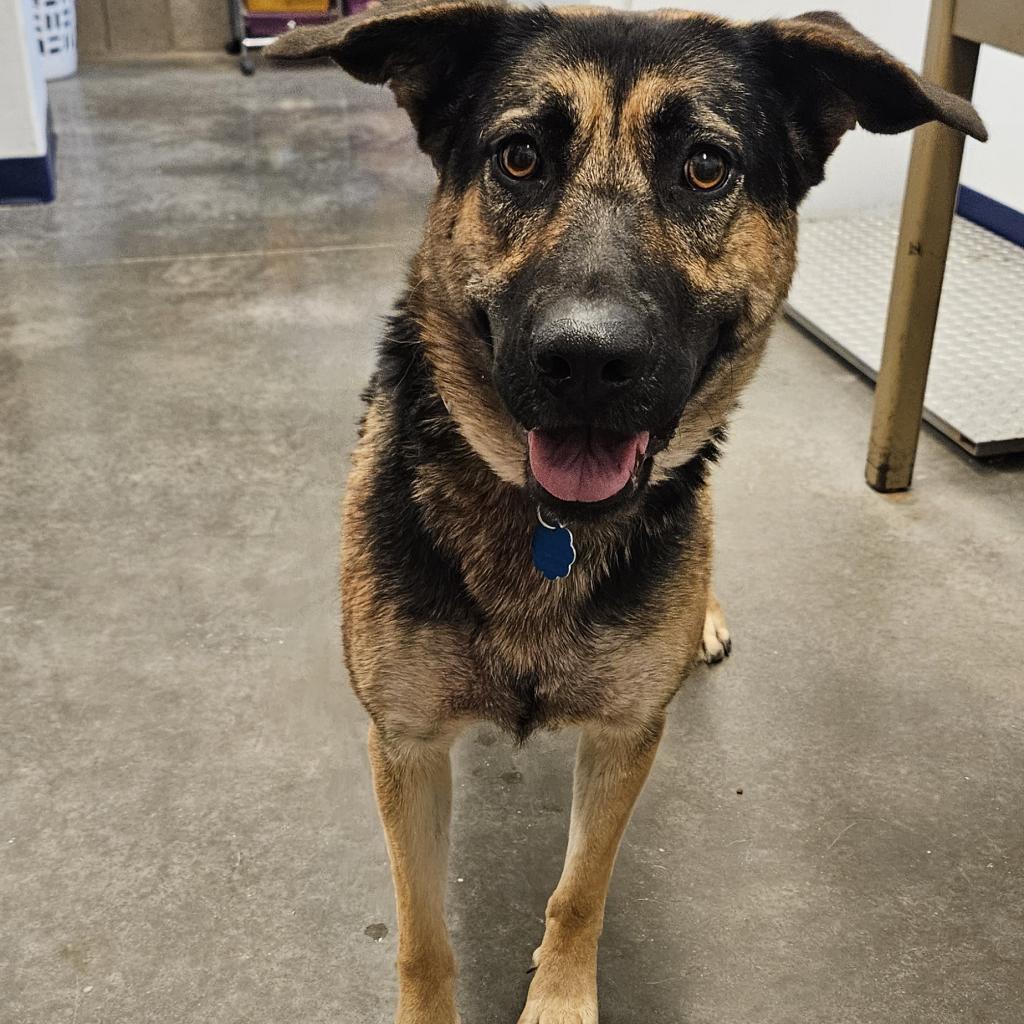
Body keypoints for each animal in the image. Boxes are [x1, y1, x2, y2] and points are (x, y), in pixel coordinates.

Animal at [268, 8, 978, 1024]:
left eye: (705, 167)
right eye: (520, 157)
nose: (585, 362)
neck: (546, 528)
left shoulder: (624, 740)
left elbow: (580, 891)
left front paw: (561, 998)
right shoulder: (404, 748)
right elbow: (422, 937)